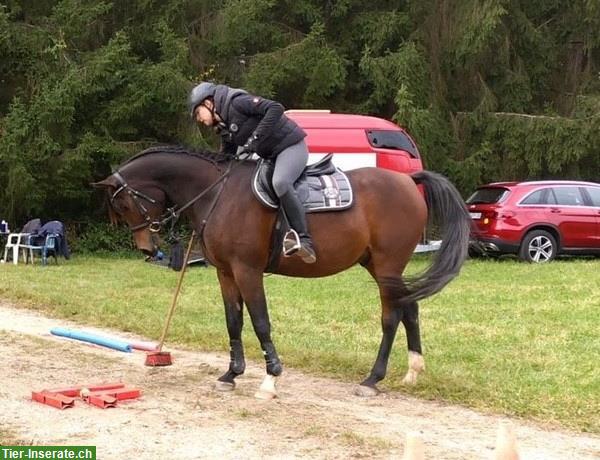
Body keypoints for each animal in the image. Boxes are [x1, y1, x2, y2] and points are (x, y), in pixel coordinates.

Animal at [95, 146, 468, 398]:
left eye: (124, 203)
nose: (146, 248)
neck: (218, 193)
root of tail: (407, 180)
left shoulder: (247, 271)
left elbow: (260, 321)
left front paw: (270, 378)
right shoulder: (225, 273)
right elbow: (233, 321)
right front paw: (231, 374)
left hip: (388, 264)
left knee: (391, 317)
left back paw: (372, 379)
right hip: (379, 265)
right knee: (410, 308)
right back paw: (413, 372)